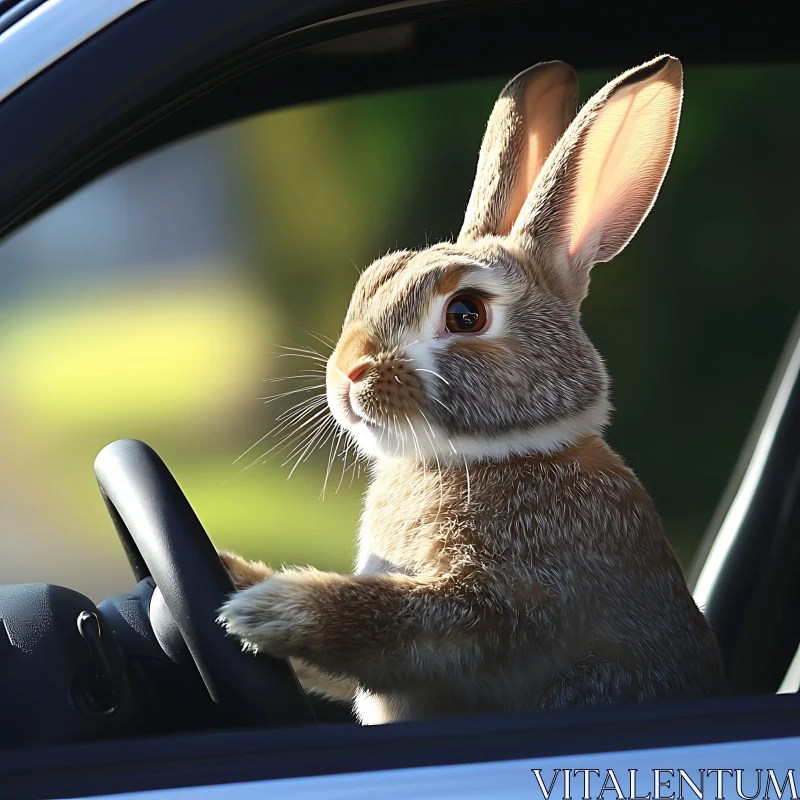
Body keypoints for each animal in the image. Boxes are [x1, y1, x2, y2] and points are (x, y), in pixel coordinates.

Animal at [216, 53, 728, 720]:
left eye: (465, 314)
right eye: (374, 277)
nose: (347, 372)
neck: (487, 454)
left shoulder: (510, 612)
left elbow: (408, 621)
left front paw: (268, 609)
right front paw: (230, 574)